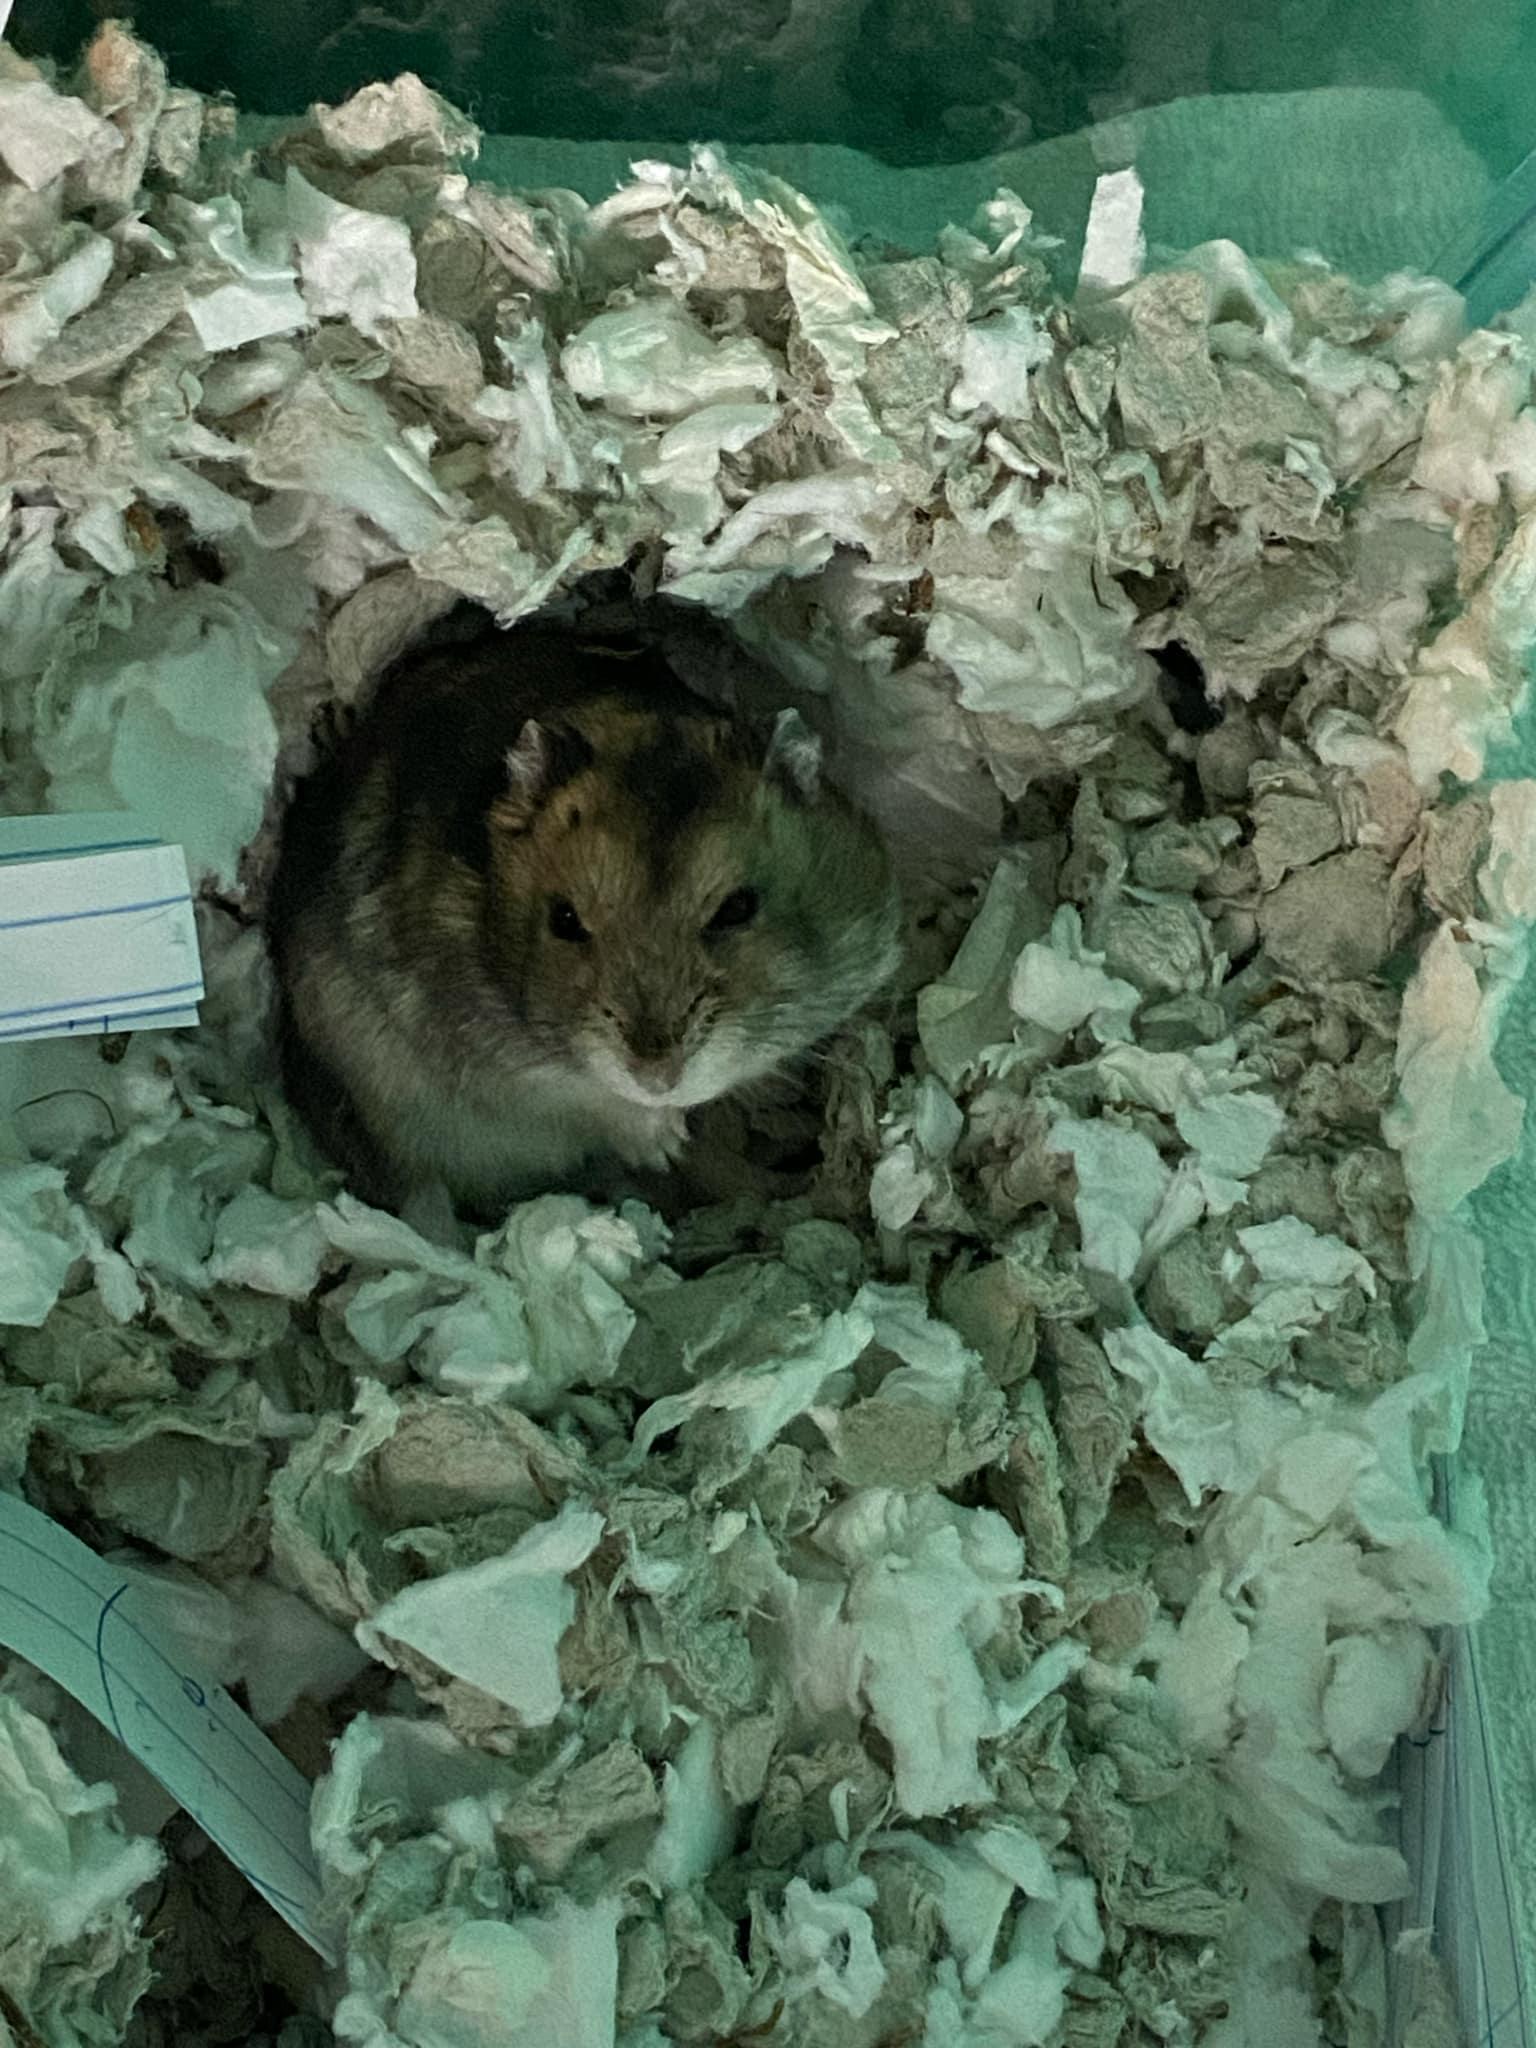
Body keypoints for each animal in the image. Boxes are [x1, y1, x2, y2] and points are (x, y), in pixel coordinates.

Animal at [266, 609, 902, 1217]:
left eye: (738, 909)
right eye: (565, 921)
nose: (657, 1078)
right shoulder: (489, 1059)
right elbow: (586, 1097)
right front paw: (665, 1143)